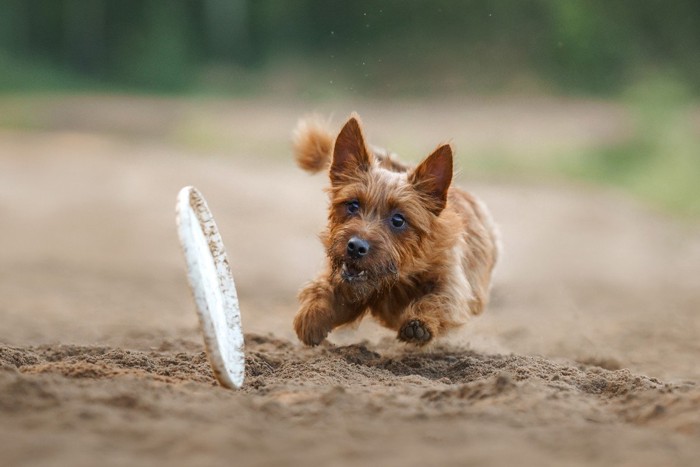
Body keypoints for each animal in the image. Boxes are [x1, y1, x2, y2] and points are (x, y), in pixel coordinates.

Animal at [292, 114, 500, 348]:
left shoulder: (453, 282)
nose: (355, 247)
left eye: (398, 220)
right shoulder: (345, 281)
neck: (397, 277)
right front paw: (312, 316)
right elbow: (324, 288)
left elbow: (440, 300)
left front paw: (420, 323)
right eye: (353, 205)